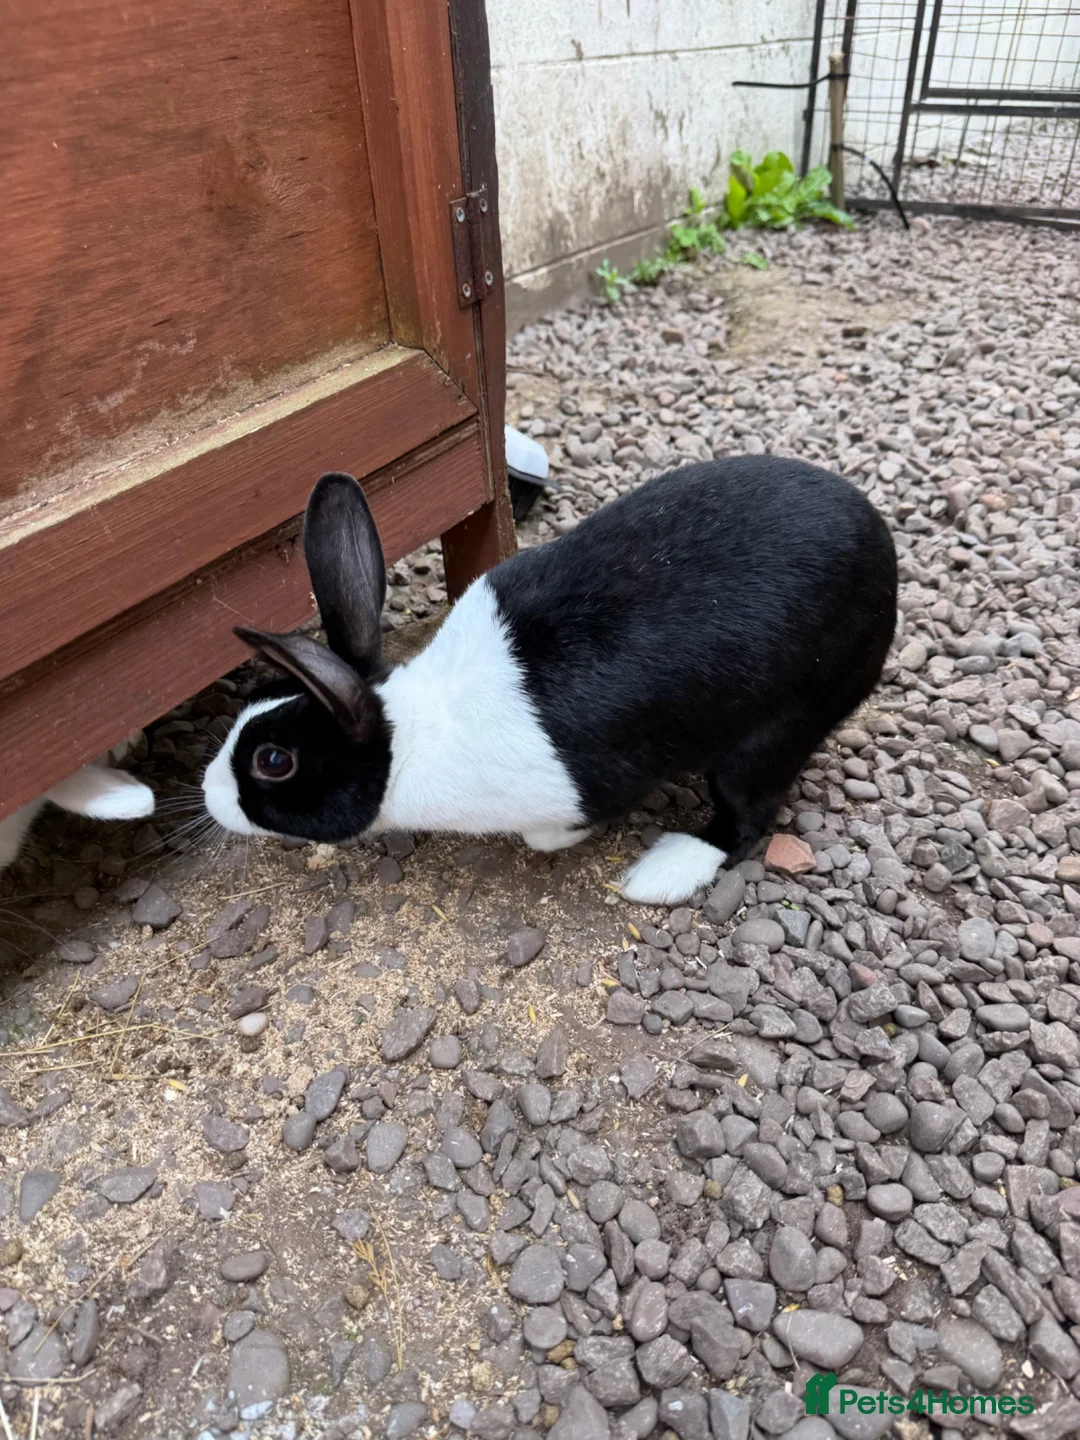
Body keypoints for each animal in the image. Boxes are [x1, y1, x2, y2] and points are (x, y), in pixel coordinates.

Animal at [203, 457, 897, 905]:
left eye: (273, 760)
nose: (208, 795)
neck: (409, 739)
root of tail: (881, 547)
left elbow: (544, 836)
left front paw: (577, 838)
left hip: (778, 725)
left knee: (746, 817)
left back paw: (660, 874)